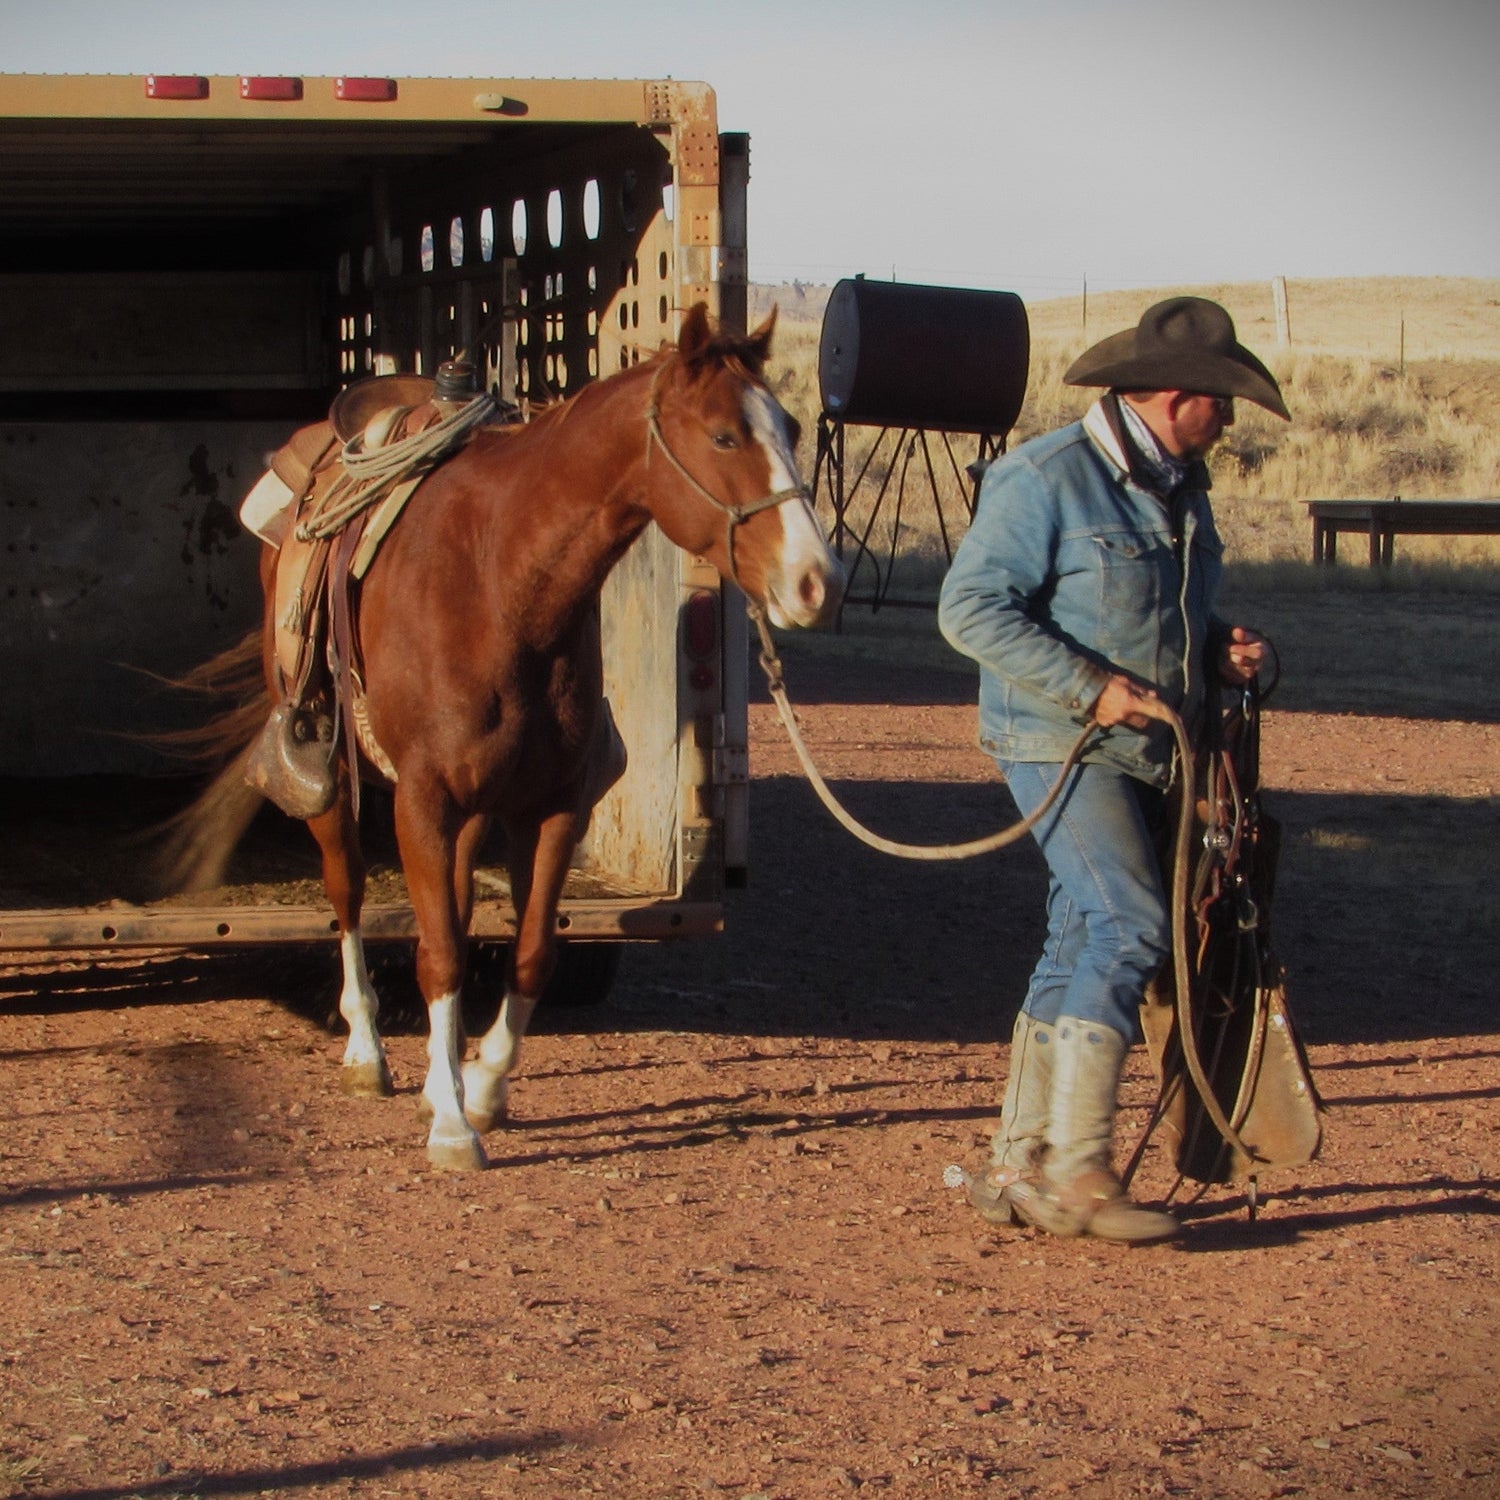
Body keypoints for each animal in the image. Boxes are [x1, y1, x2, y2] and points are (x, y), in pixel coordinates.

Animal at [177, 307, 846, 1170]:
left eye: (790, 428)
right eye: (725, 436)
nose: (818, 583)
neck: (503, 585)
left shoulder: (554, 807)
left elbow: (526, 951)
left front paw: (483, 1088)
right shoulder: (422, 802)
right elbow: (437, 952)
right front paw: (452, 1127)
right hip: (336, 781)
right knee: (349, 894)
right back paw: (367, 1050)